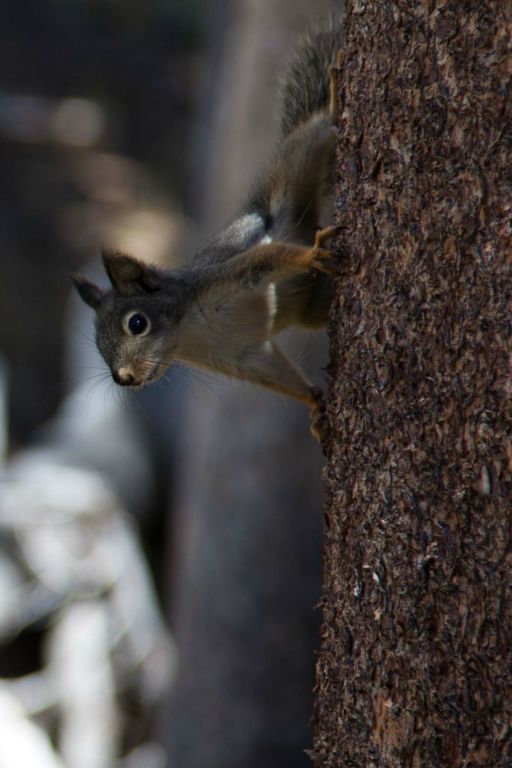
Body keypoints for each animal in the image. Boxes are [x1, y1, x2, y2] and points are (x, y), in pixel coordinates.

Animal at [72, 22, 342, 438]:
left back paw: (333, 95)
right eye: (98, 344)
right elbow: (272, 371)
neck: (190, 333)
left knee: (313, 132)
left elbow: (264, 260)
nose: (123, 377)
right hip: (312, 303)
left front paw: (311, 254)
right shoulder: (239, 355)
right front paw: (314, 403)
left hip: (291, 170)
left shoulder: (226, 278)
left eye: (137, 323)